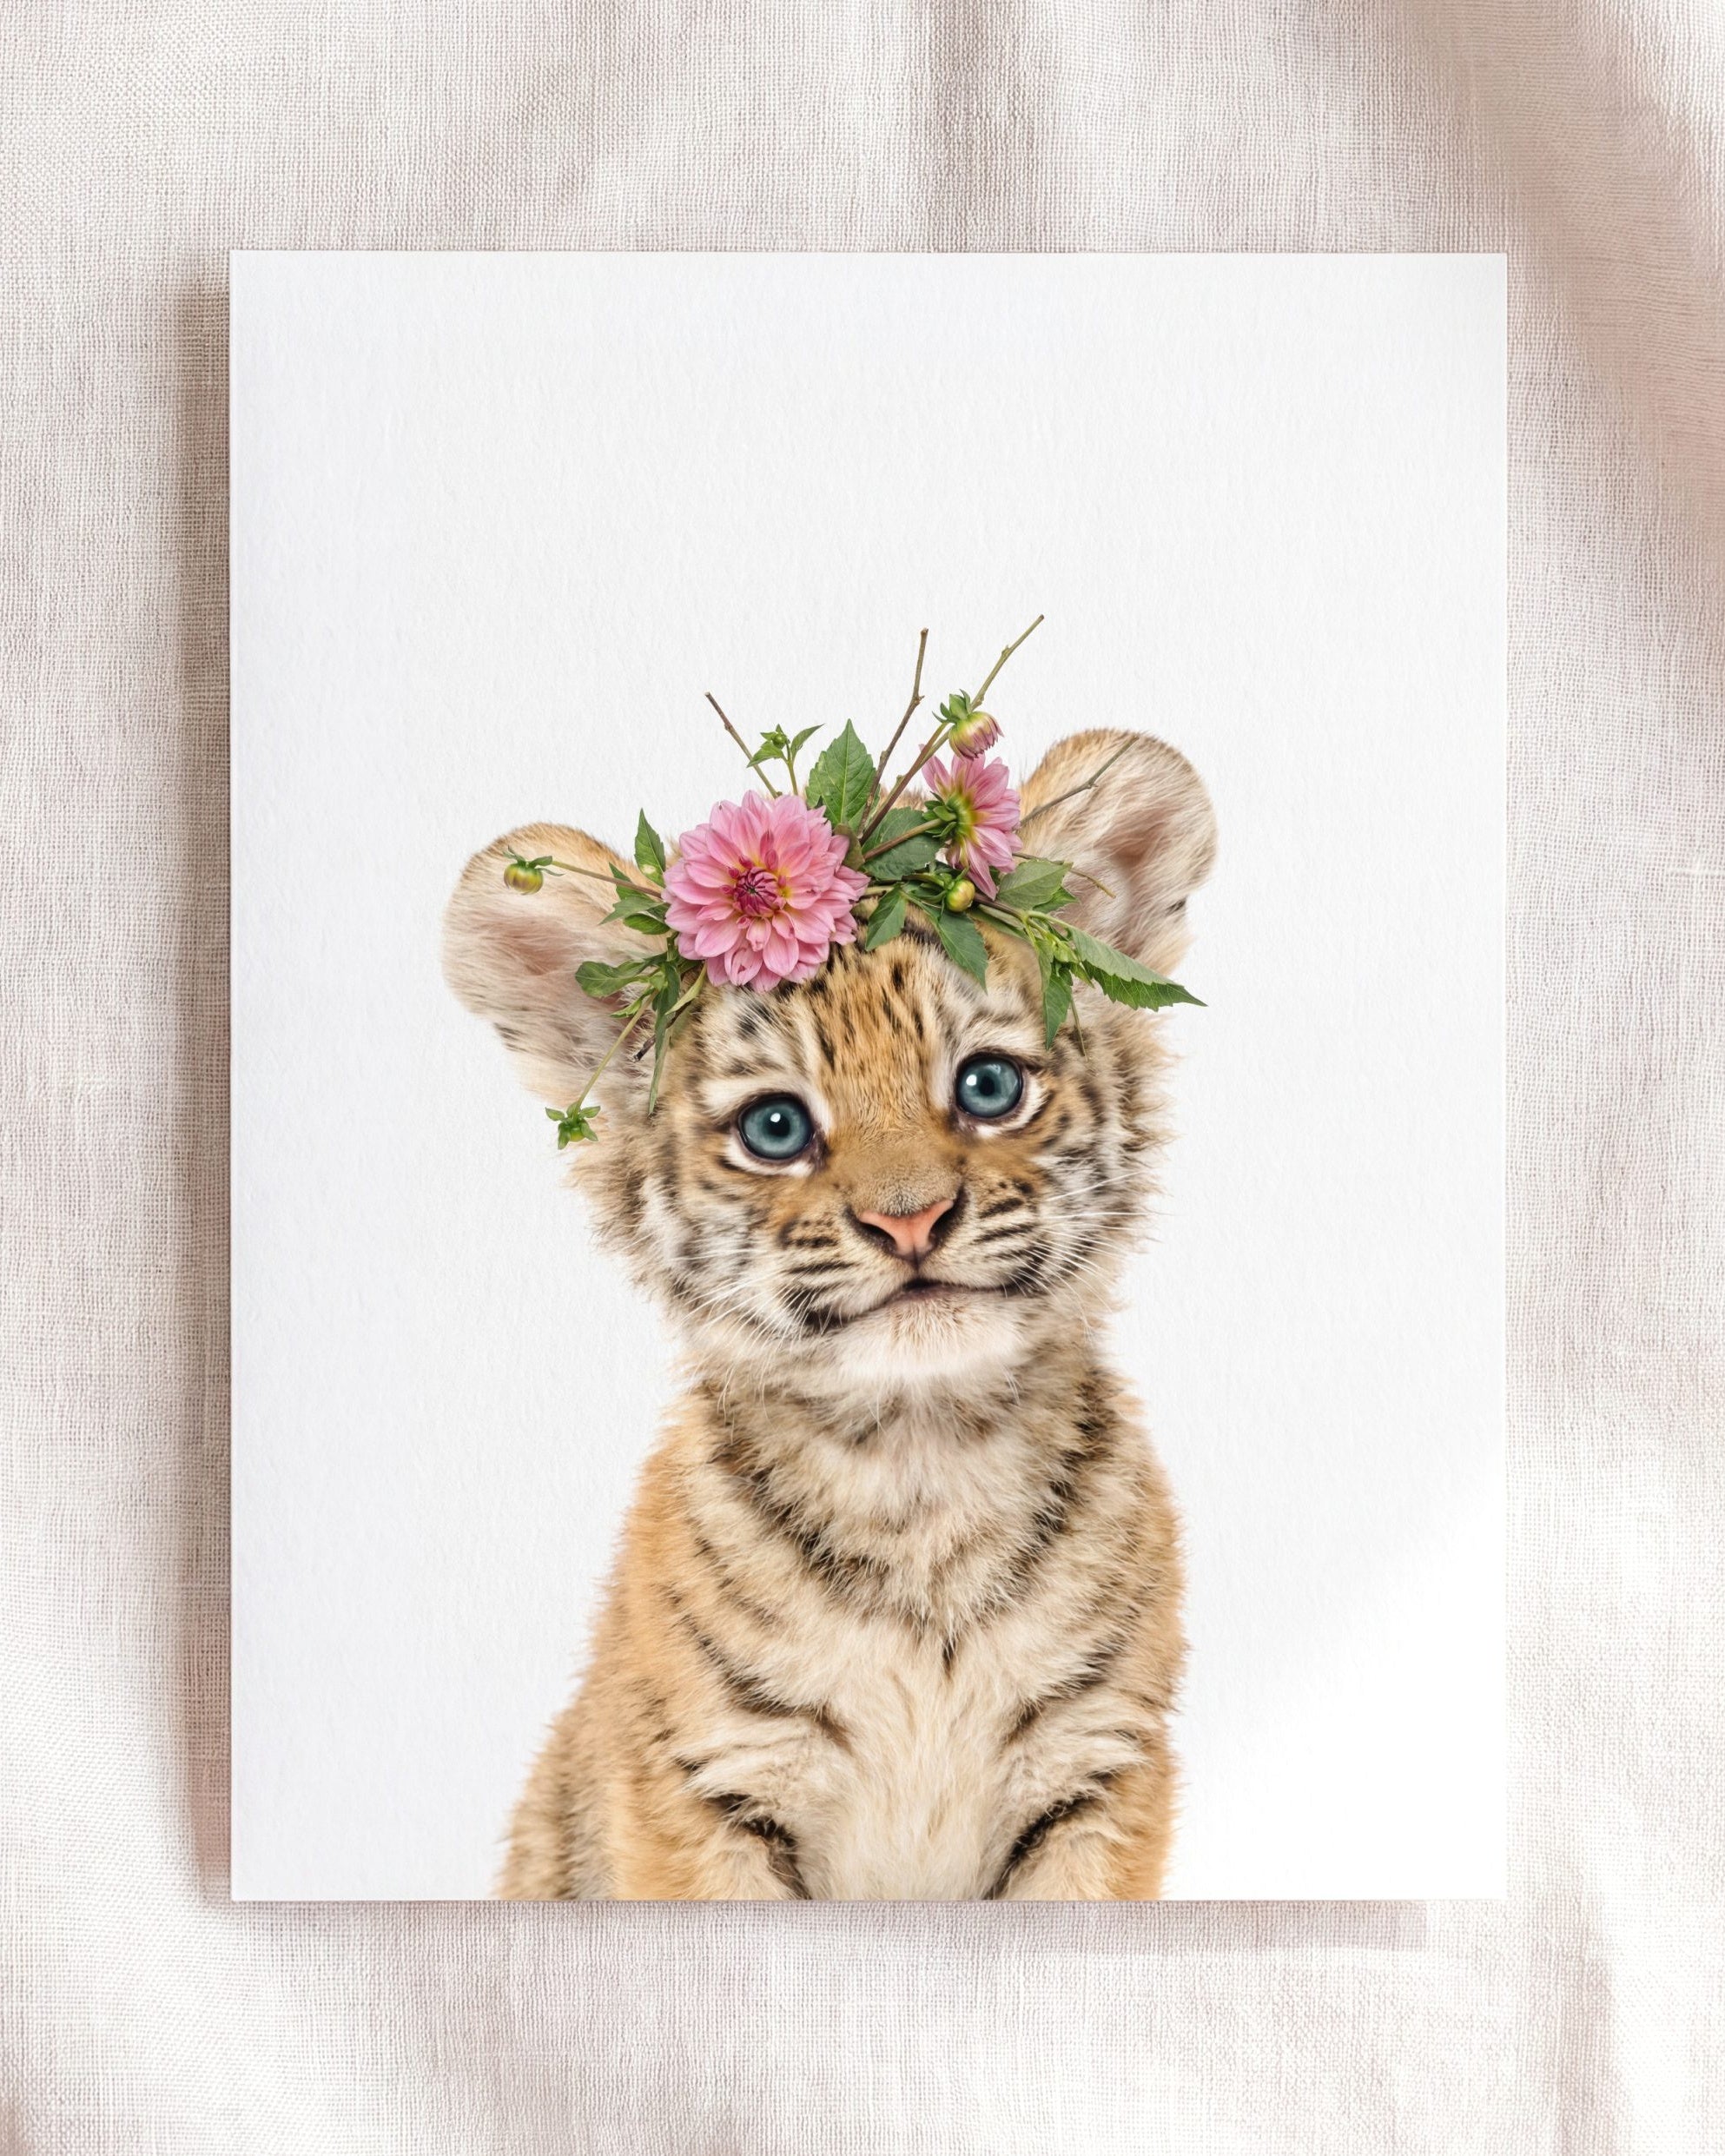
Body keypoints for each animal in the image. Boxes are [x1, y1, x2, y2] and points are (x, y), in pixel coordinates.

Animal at [443, 727, 1217, 1899]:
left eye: (989, 1086)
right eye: (775, 1127)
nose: (911, 1220)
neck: (922, 1469)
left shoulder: (1097, 1768)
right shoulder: (704, 1787)